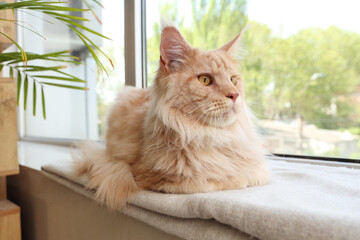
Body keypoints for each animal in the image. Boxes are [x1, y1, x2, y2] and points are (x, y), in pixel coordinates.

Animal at [74, 23, 270, 209]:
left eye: (233, 80)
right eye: (205, 80)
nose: (234, 95)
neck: (213, 136)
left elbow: (256, 173)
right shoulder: (153, 176)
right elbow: (217, 179)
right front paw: (237, 178)